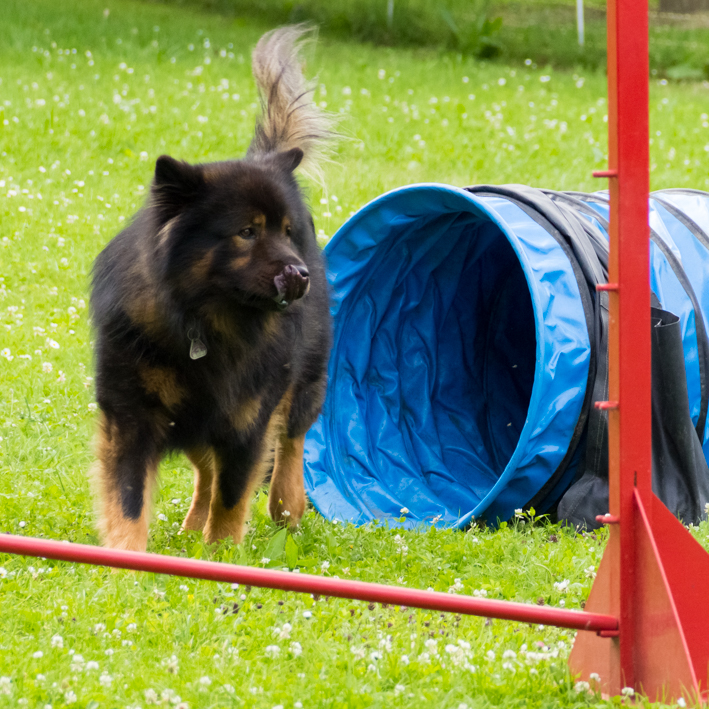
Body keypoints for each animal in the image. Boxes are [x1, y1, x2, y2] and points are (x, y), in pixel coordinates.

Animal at [89, 24, 334, 552]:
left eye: (287, 231)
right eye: (246, 232)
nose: (300, 273)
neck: (205, 321)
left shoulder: (246, 418)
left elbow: (233, 493)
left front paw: (220, 554)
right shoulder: (132, 414)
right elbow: (128, 498)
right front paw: (125, 557)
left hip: (305, 376)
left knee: (292, 439)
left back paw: (288, 505)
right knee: (205, 471)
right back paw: (191, 522)